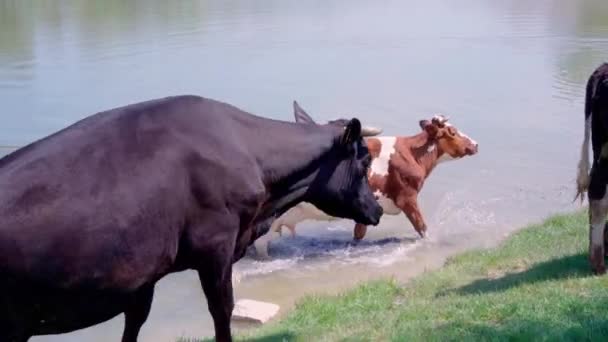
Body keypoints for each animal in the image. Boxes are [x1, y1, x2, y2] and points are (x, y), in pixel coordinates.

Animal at [0, 94, 382, 342]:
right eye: (364, 162)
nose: (377, 209)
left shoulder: (144, 273)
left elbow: (135, 322)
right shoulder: (216, 246)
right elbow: (221, 311)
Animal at [254, 103, 478, 258]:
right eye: (452, 132)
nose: (476, 144)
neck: (411, 153)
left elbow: (358, 235)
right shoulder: (407, 198)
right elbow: (422, 228)